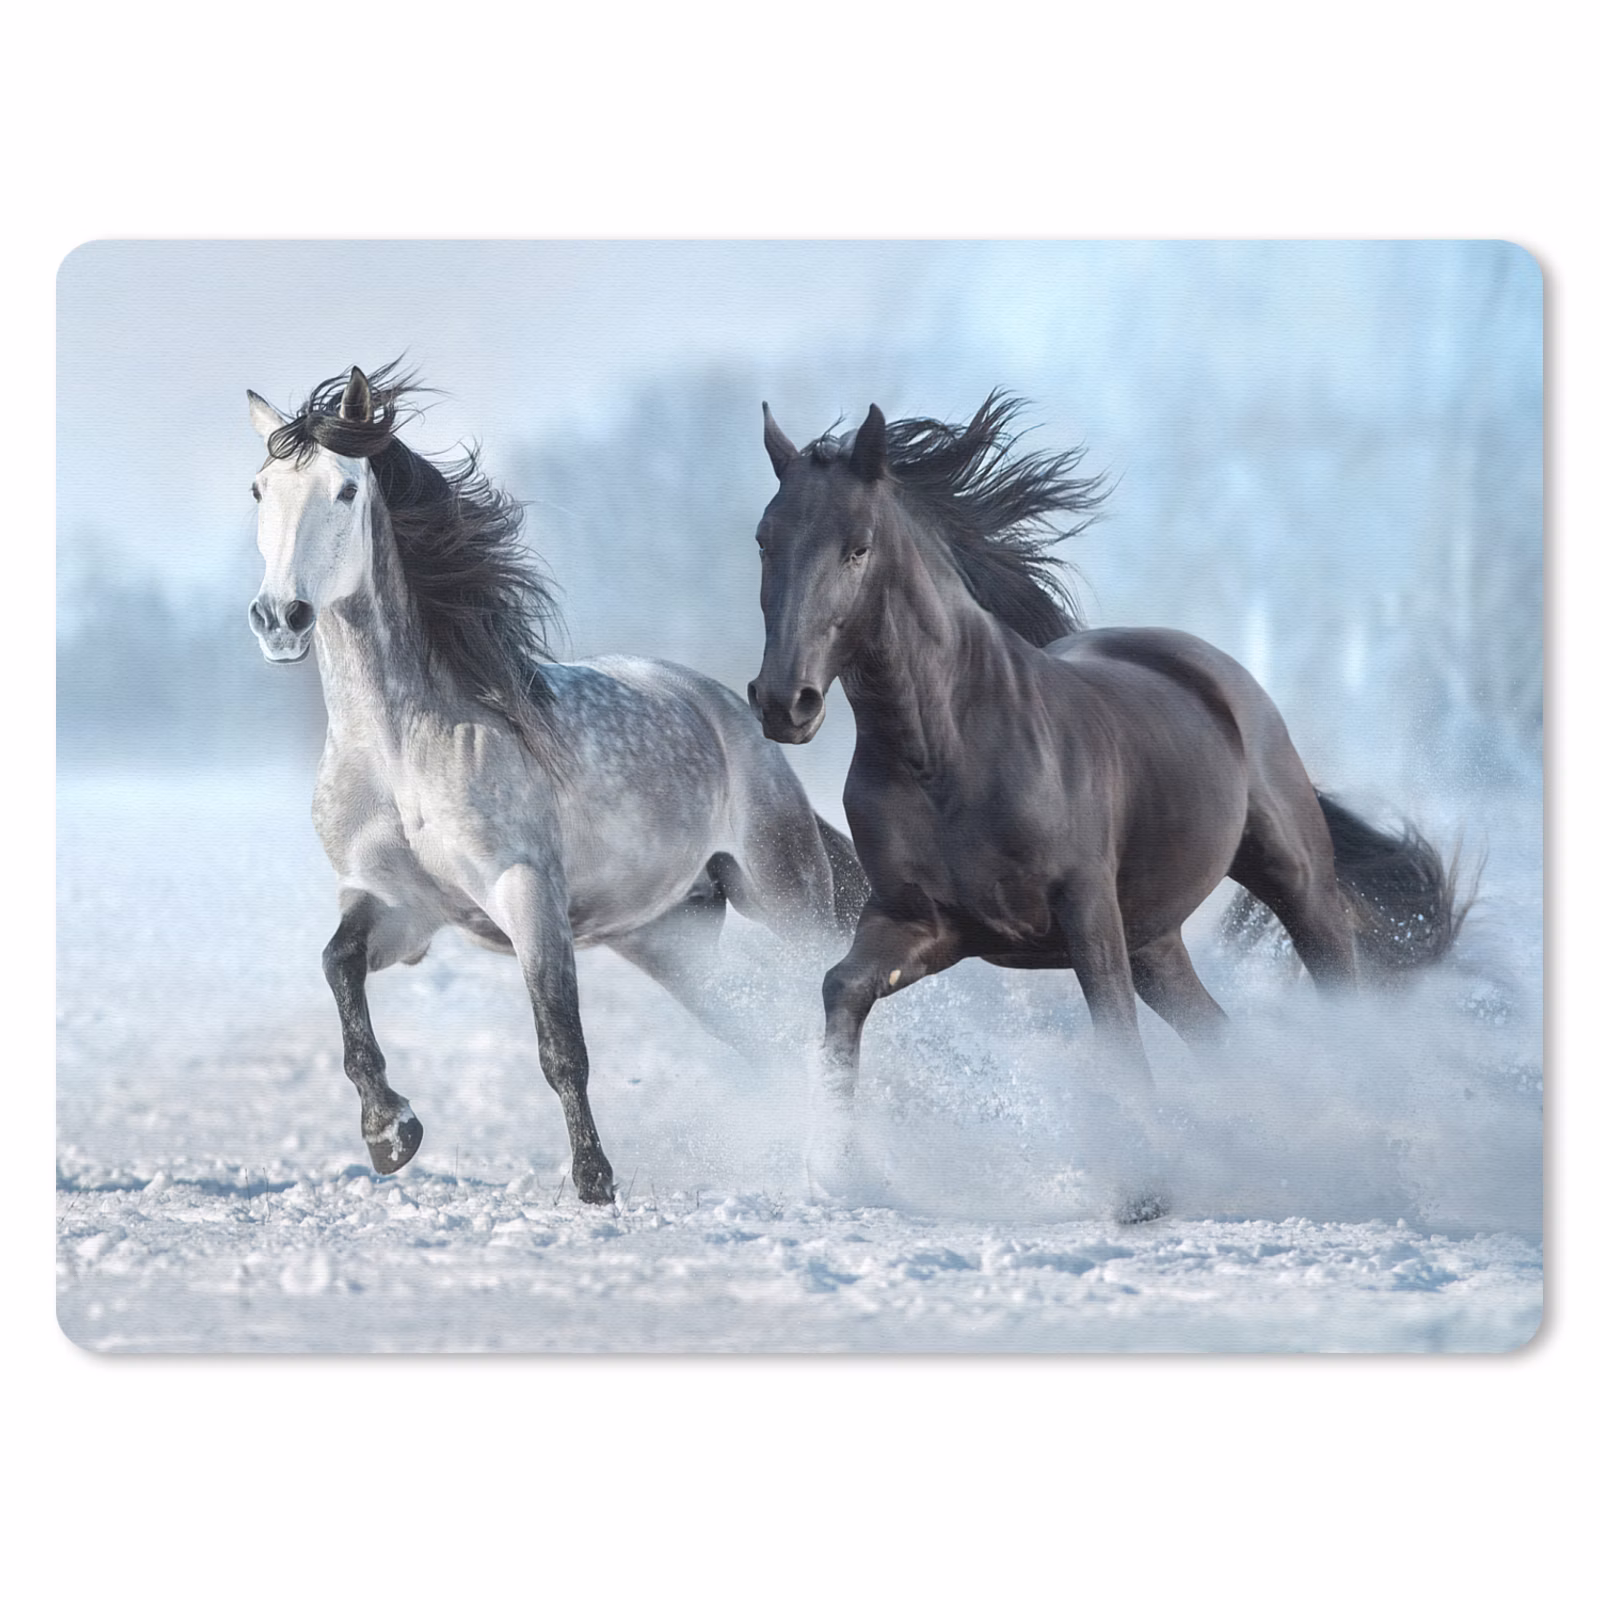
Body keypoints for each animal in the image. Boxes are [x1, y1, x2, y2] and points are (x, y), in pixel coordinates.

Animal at [245, 362, 866, 1204]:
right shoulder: (398, 905)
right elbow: (338, 970)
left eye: (344, 490)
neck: (400, 749)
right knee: (759, 1031)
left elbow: (560, 1044)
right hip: (668, 939)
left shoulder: (526, 891)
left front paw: (594, 1182)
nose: (280, 617)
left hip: (785, 893)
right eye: (259, 489)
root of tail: (729, 713)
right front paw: (390, 1133)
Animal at [747, 393, 1466, 1213]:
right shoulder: (921, 923)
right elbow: (842, 989)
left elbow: (1113, 1033)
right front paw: (838, 1168)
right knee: (1219, 1035)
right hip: (1155, 940)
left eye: (857, 548)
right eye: (765, 541)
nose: (785, 703)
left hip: (1294, 880)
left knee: (1339, 993)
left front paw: (1143, 1190)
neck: (946, 752)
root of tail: (1216, 673)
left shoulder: (1085, 910)